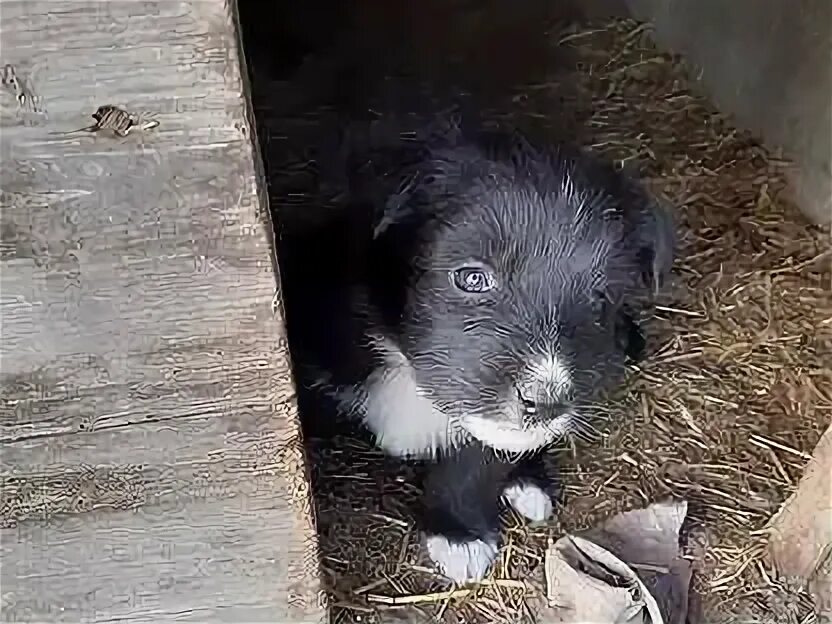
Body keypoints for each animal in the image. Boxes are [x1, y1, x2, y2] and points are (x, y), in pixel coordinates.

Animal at [282, 111, 676, 584]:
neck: (406, 372)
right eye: (472, 278)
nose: (546, 402)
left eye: (600, 300)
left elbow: (476, 462)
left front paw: (458, 530)